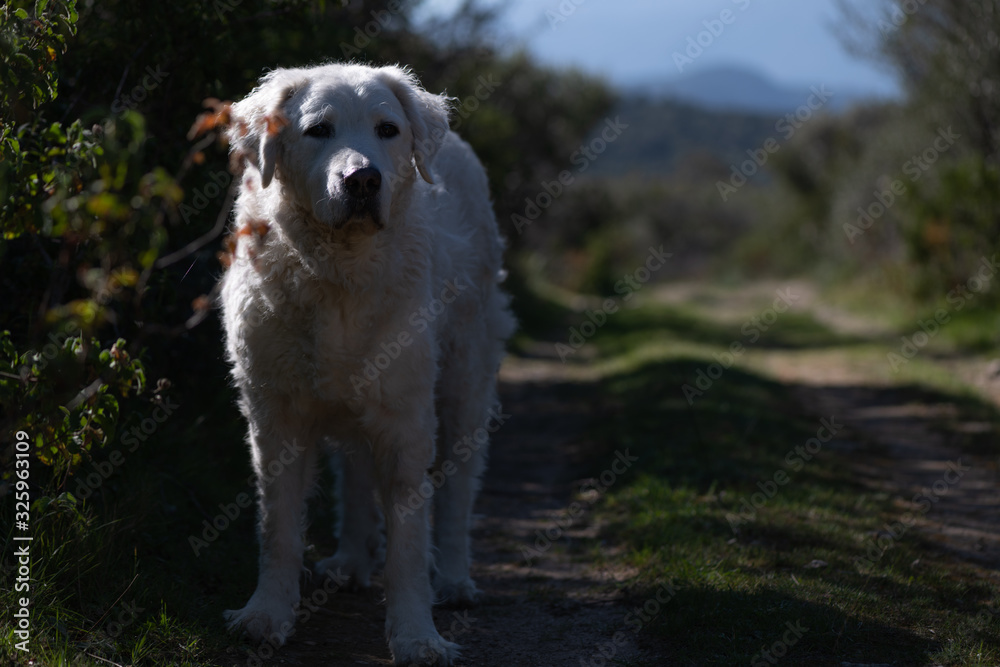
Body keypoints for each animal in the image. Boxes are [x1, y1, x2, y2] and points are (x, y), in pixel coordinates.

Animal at [219, 61, 516, 664]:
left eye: (387, 130)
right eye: (318, 131)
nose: (361, 180)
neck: (341, 272)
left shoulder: (406, 420)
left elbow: (408, 542)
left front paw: (417, 636)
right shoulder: (276, 414)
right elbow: (278, 527)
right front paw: (265, 615)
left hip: (464, 382)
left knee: (458, 490)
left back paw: (455, 580)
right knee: (355, 471)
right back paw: (352, 562)